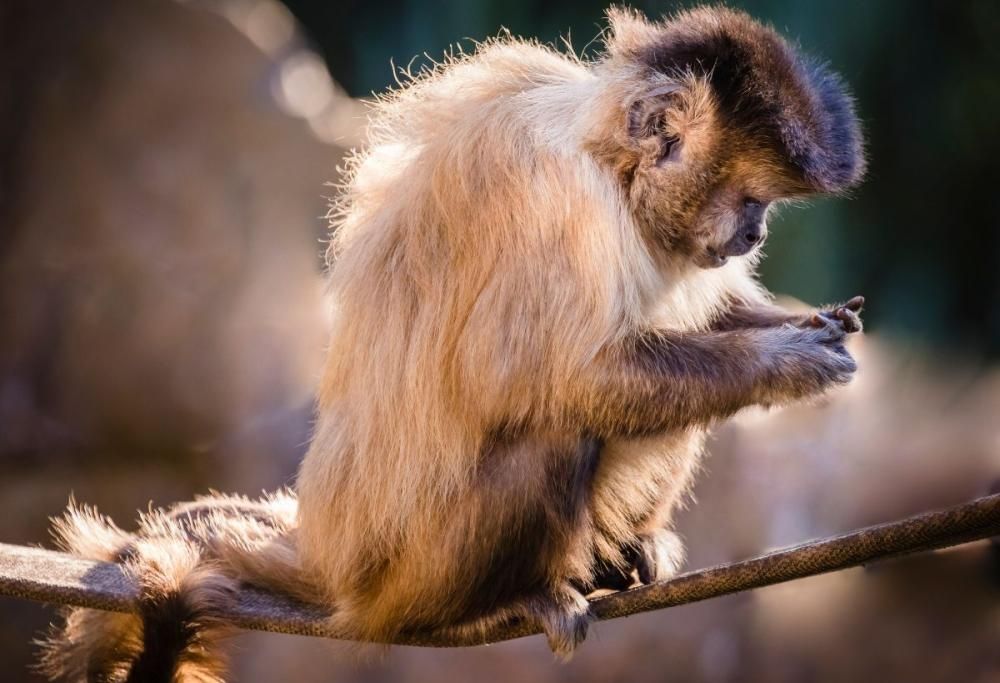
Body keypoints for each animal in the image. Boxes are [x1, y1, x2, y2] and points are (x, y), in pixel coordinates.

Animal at [37, 6, 866, 680]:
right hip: (414, 570)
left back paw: (620, 554)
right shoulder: (556, 197)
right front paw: (784, 363)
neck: (605, 158)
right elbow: (548, 378)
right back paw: (506, 601)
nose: (755, 231)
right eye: (750, 199)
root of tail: (330, 553)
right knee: (554, 428)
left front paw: (811, 327)